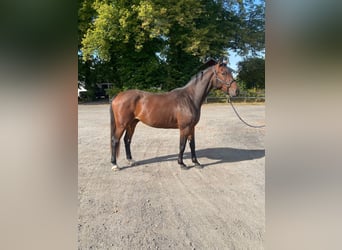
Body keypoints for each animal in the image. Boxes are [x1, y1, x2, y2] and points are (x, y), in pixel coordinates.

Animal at [111, 60, 239, 170]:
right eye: (223, 73)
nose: (236, 91)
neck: (190, 98)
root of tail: (117, 96)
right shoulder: (184, 128)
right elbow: (182, 145)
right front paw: (182, 164)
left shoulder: (191, 127)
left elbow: (192, 144)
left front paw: (196, 163)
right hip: (122, 124)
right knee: (115, 140)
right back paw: (115, 165)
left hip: (132, 123)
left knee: (127, 140)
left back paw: (131, 161)